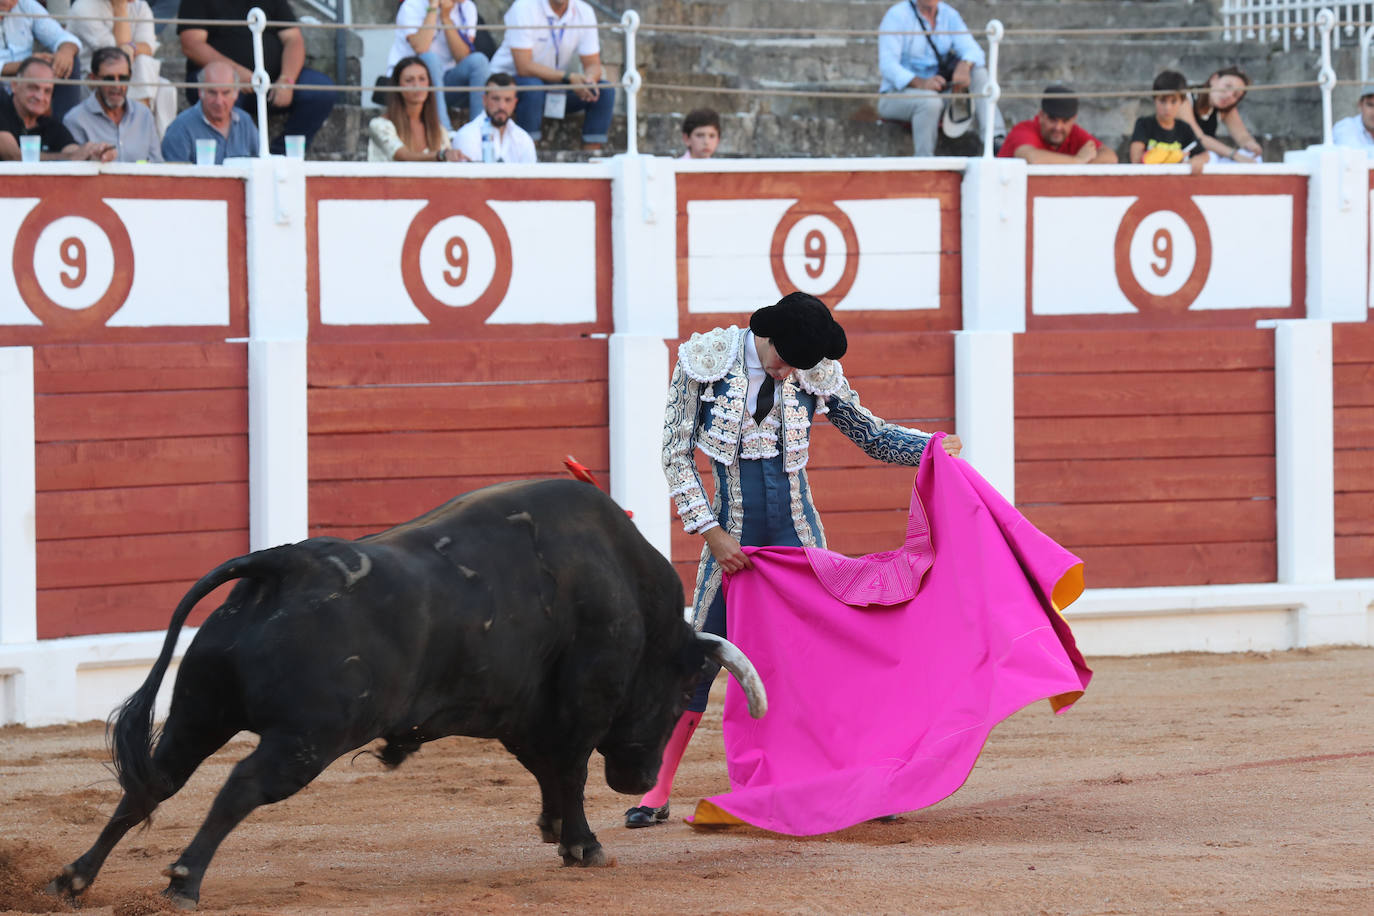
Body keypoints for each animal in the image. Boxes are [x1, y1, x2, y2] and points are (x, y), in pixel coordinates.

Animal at [48, 480, 769, 911]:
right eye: (681, 691)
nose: (637, 781)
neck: (629, 590)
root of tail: (284, 563)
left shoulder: (518, 712)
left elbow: (546, 771)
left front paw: (555, 831)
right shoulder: (577, 708)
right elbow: (566, 771)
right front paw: (582, 844)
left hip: (200, 710)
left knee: (154, 781)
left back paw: (73, 878)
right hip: (308, 739)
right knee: (241, 786)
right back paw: (183, 880)